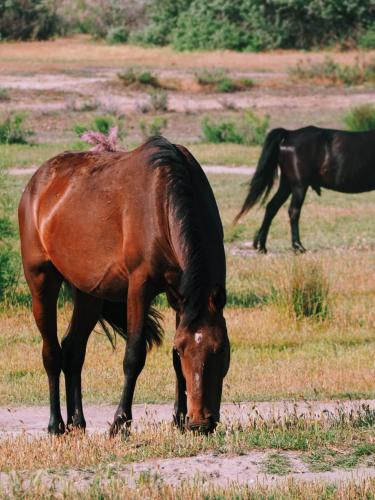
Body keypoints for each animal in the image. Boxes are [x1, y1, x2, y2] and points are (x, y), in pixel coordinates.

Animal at [19, 136, 231, 434]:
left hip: (88, 295)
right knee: (51, 353)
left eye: (221, 348)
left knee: (73, 350)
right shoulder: (139, 287)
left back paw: (77, 423)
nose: (201, 422)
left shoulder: (180, 294)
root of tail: (36, 183)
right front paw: (120, 422)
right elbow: (134, 355)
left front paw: (178, 419)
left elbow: (174, 362)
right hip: (41, 280)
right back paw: (55, 424)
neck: (163, 200)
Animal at [235, 127, 375, 252]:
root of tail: (289, 134)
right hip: (299, 186)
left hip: (287, 184)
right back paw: (298, 247)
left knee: (272, 207)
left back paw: (262, 247)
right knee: (293, 211)